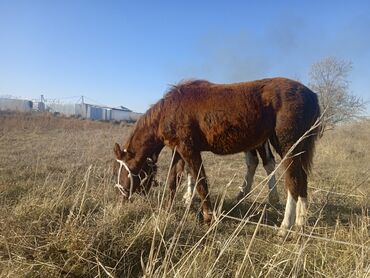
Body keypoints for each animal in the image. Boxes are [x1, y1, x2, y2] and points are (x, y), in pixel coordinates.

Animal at [113, 77, 320, 236]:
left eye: (125, 170)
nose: (121, 199)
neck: (169, 110)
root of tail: (312, 95)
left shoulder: (189, 150)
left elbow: (200, 182)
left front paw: (208, 217)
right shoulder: (178, 153)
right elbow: (173, 181)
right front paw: (167, 210)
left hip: (288, 147)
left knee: (293, 181)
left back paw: (285, 226)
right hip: (296, 149)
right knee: (302, 178)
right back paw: (300, 222)